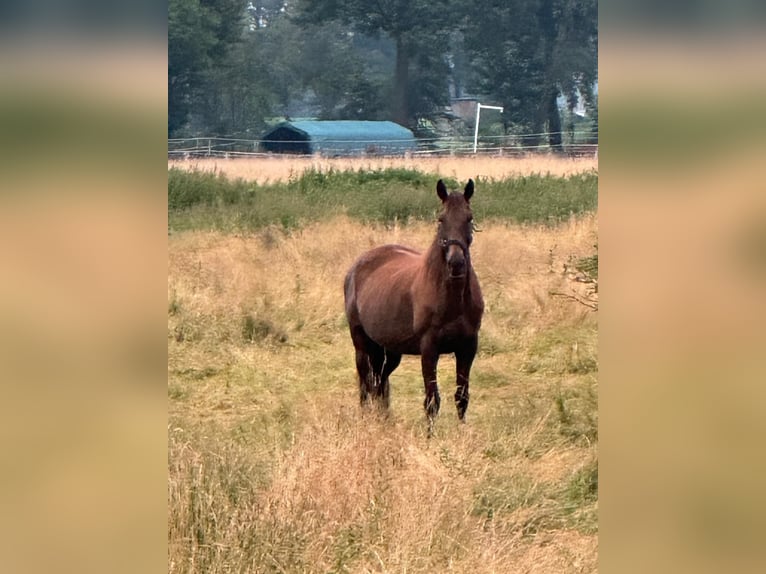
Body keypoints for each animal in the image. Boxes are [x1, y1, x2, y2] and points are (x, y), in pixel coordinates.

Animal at [344, 178, 484, 434]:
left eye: (469, 218)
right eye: (441, 219)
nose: (456, 263)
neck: (452, 298)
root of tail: (356, 267)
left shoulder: (468, 346)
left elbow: (462, 396)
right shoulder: (429, 348)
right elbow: (432, 400)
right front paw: (430, 436)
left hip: (390, 351)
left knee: (380, 383)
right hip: (361, 345)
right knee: (366, 385)